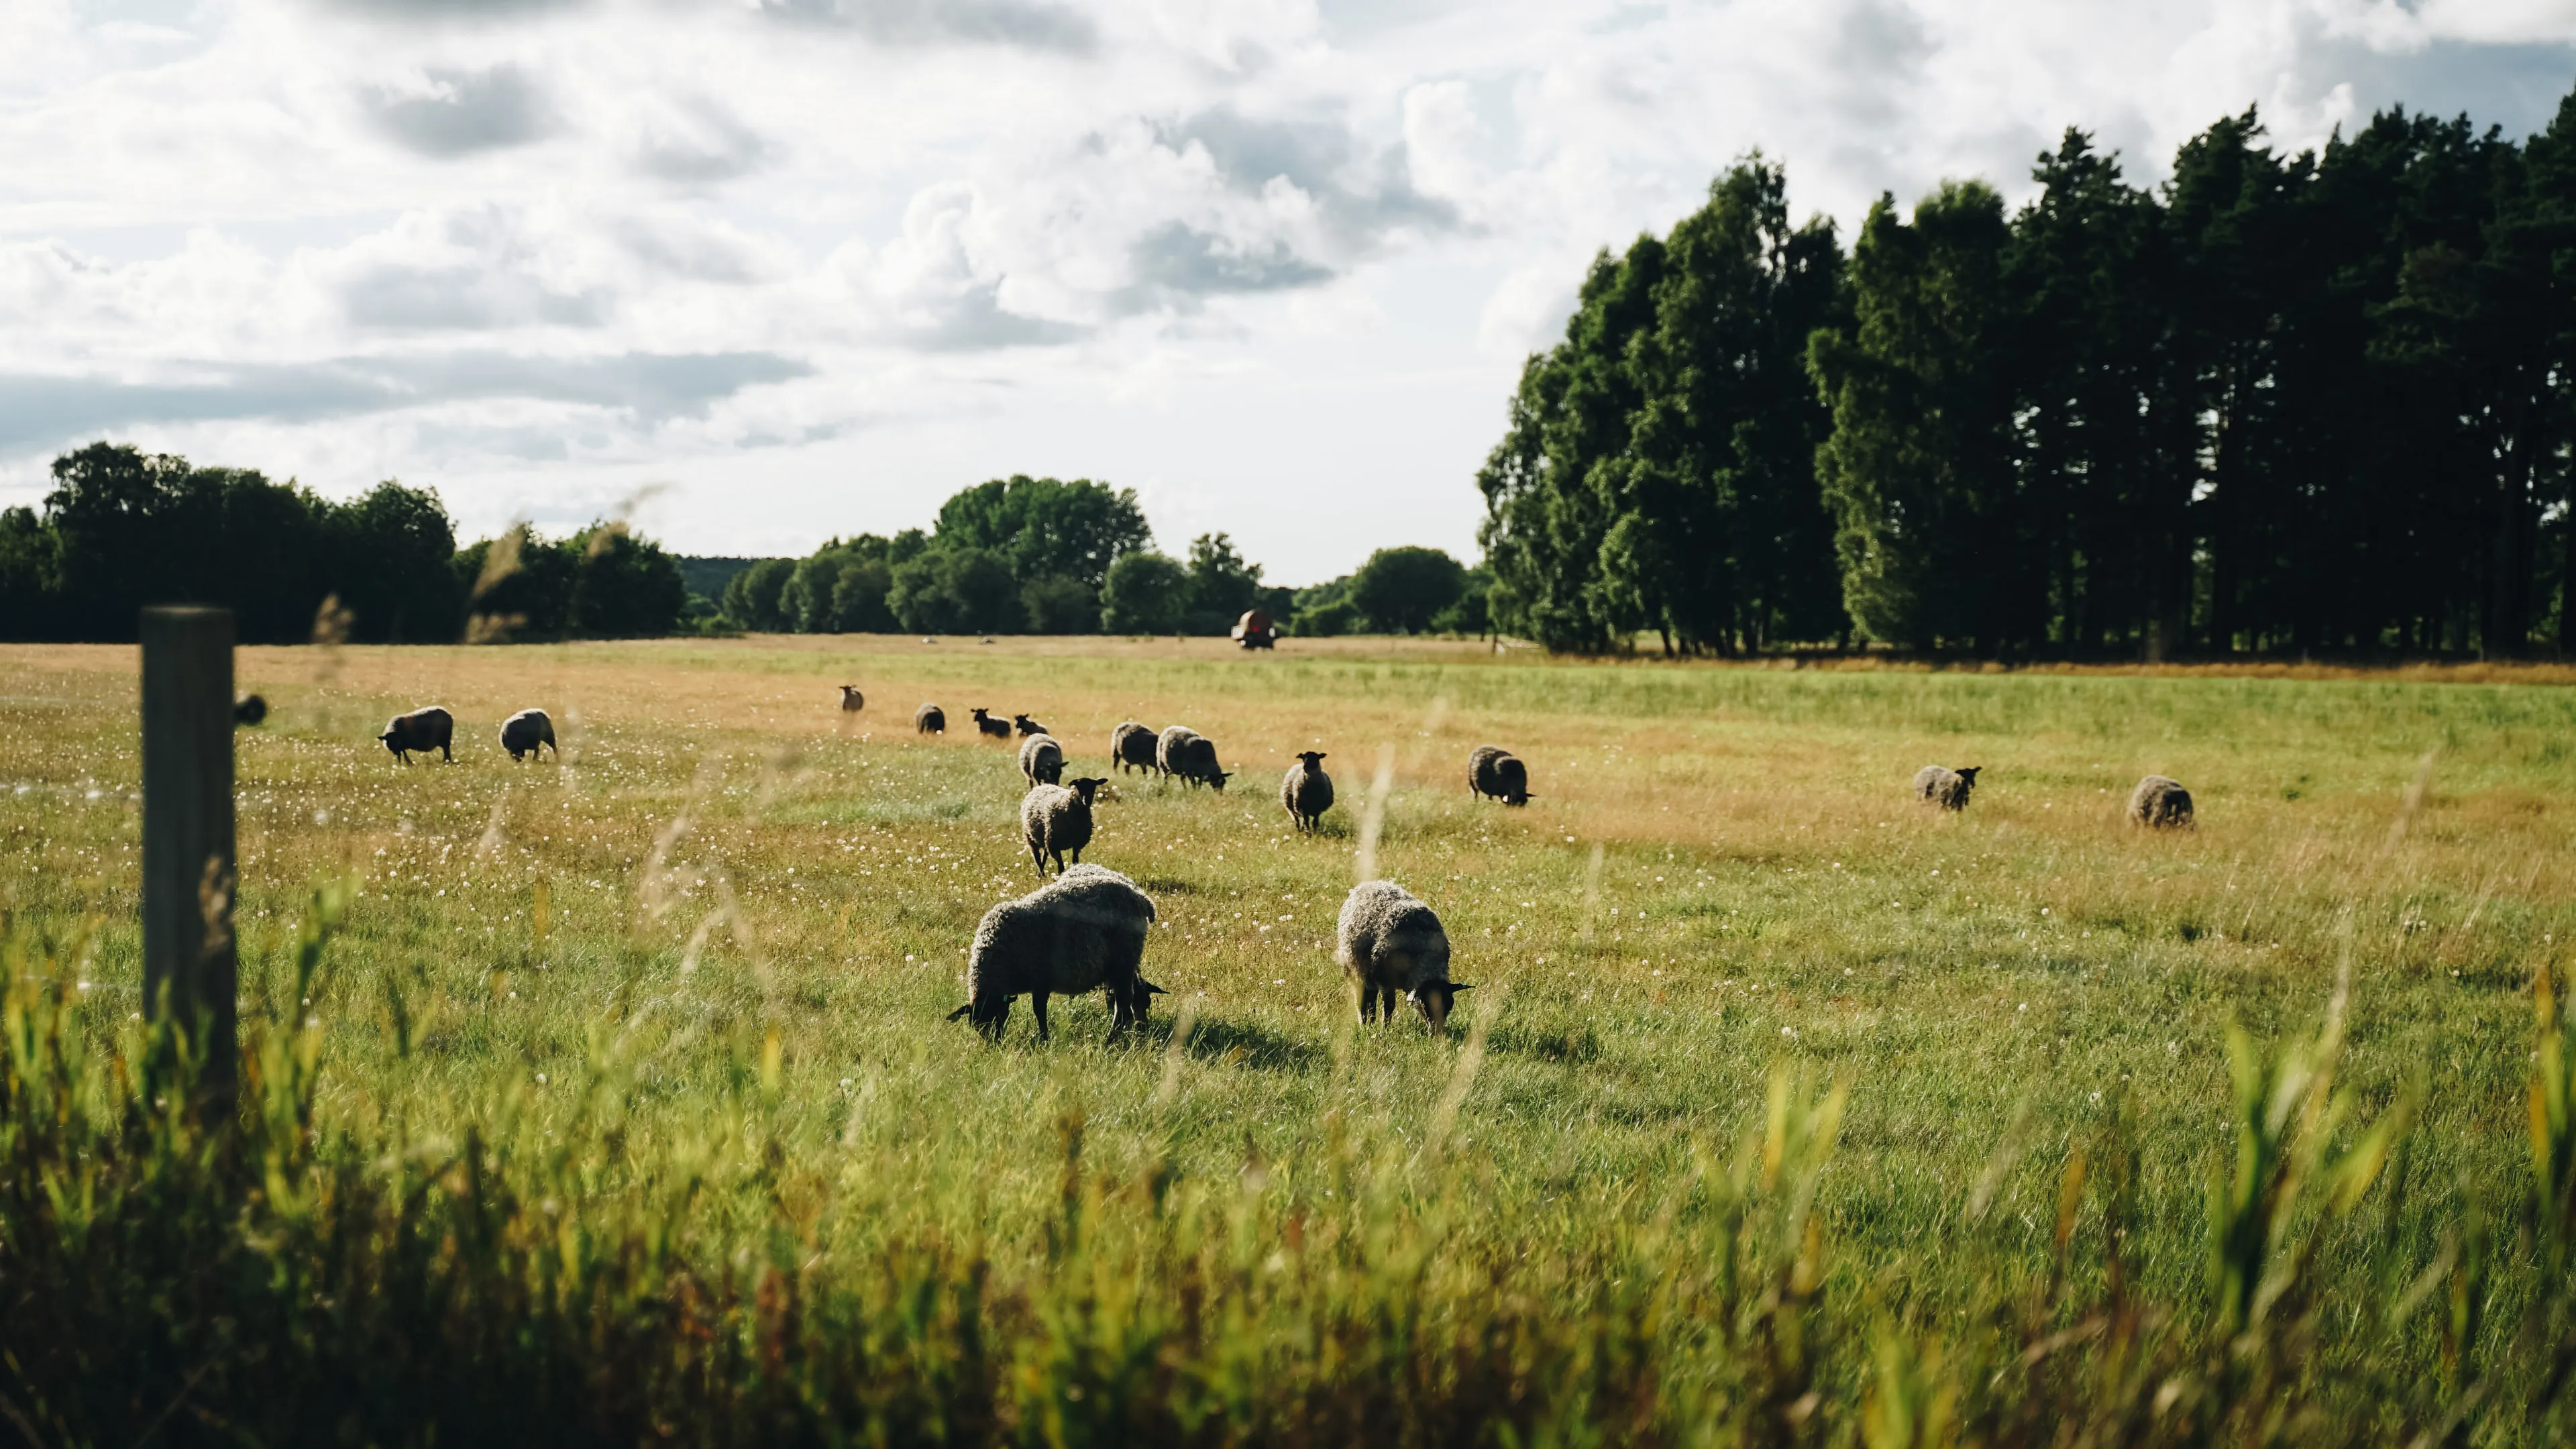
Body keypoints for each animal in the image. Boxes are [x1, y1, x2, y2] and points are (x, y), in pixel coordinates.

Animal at [947, 862, 1163, 1041]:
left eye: (995, 1017)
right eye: (976, 1026)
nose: (994, 1045)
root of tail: (1142, 898)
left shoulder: (1041, 980)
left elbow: (1039, 1011)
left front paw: (1044, 1038)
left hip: (1123, 961)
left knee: (1124, 1003)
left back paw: (1111, 1038)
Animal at [1021, 777, 1105, 874]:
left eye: (1094, 787)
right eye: (1079, 787)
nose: (1087, 801)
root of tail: (1041, 786)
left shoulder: (1077, 843)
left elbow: (1075, 861)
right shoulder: (1054, 844)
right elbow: (1061, 866)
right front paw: (1060, 875)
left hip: (1046, 835)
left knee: (1044, 854)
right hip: (1031, 836)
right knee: (1037, 857)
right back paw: (1041, 874)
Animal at [1336, 880, 1471, 1031]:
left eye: (1450, 1005)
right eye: (1424, 1004)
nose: (1437, 1032)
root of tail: (1369, 883)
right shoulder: (1385, 979)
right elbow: (1389, 1006)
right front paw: (1385, 1029)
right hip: (1356, 969)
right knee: (1363, 999)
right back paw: (1365, 1024)